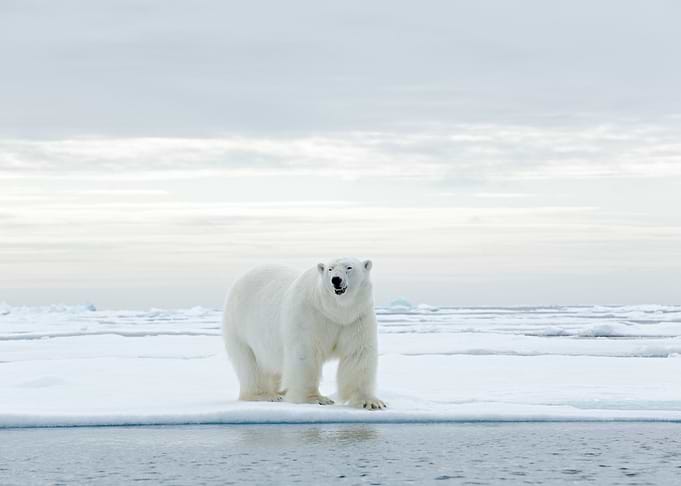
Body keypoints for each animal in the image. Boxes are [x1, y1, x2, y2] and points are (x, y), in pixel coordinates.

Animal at [222, 257, 386, 410]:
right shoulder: (309, 314)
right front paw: (316, 399)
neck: (335, 311)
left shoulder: (356, 319)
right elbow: (305, 354)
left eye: (349, 267)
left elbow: (357, 353)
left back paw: (281, 392)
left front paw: (370, 402)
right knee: (250, 365)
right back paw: (265, 395)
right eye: (330, 269)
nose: (336, 280)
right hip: (240, 327)